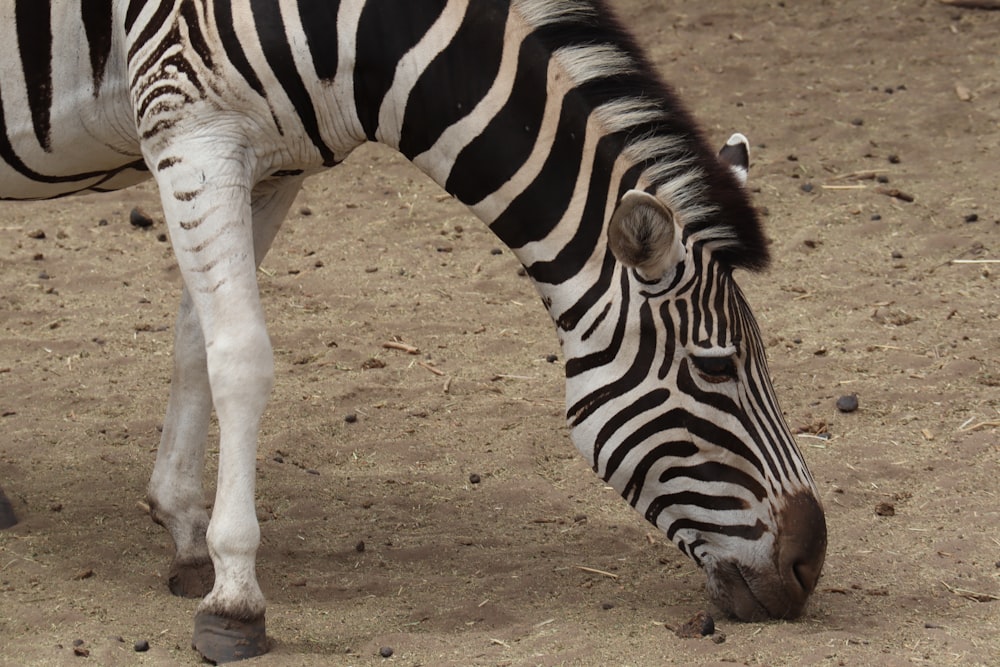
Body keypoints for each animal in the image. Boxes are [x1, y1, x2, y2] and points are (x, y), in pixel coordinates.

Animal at [1, 0, 828, 664]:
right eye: (715, 367)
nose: (810, 565)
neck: (364, 34)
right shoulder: (193, 132)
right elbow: (241, 357)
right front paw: (235, 593)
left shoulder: (269, 165)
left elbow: (195, 342)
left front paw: (181, 525)